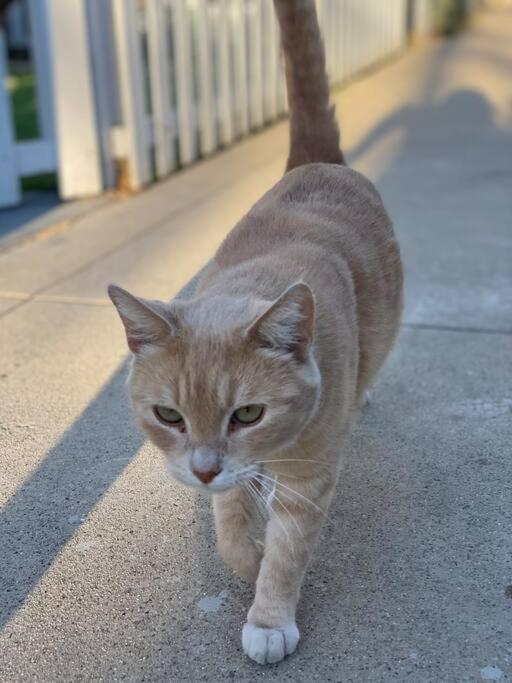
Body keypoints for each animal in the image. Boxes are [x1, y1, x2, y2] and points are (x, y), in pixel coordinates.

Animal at [109, 0, 404, 664]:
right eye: (169, 416)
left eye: (248, 414)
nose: (202, 469)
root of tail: (319, 162)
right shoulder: (225, 479)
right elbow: (231, 529)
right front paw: (247, 554)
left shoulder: (311, 473)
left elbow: (288, 553)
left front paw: (269, 619)